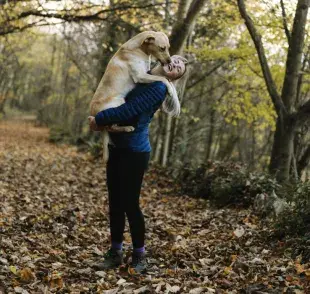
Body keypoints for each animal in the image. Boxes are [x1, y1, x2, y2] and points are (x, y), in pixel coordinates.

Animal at [89, 31, 180, 163]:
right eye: (162, 48)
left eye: (168, 47)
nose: (169, 62)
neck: (139, 49)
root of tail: (94, 114)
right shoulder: (141, 75)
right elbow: (162, 78)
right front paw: (169, 89)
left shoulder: (146, 72)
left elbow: (164, 78)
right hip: (119, 102)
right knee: (112, 127)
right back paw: (127, 128)